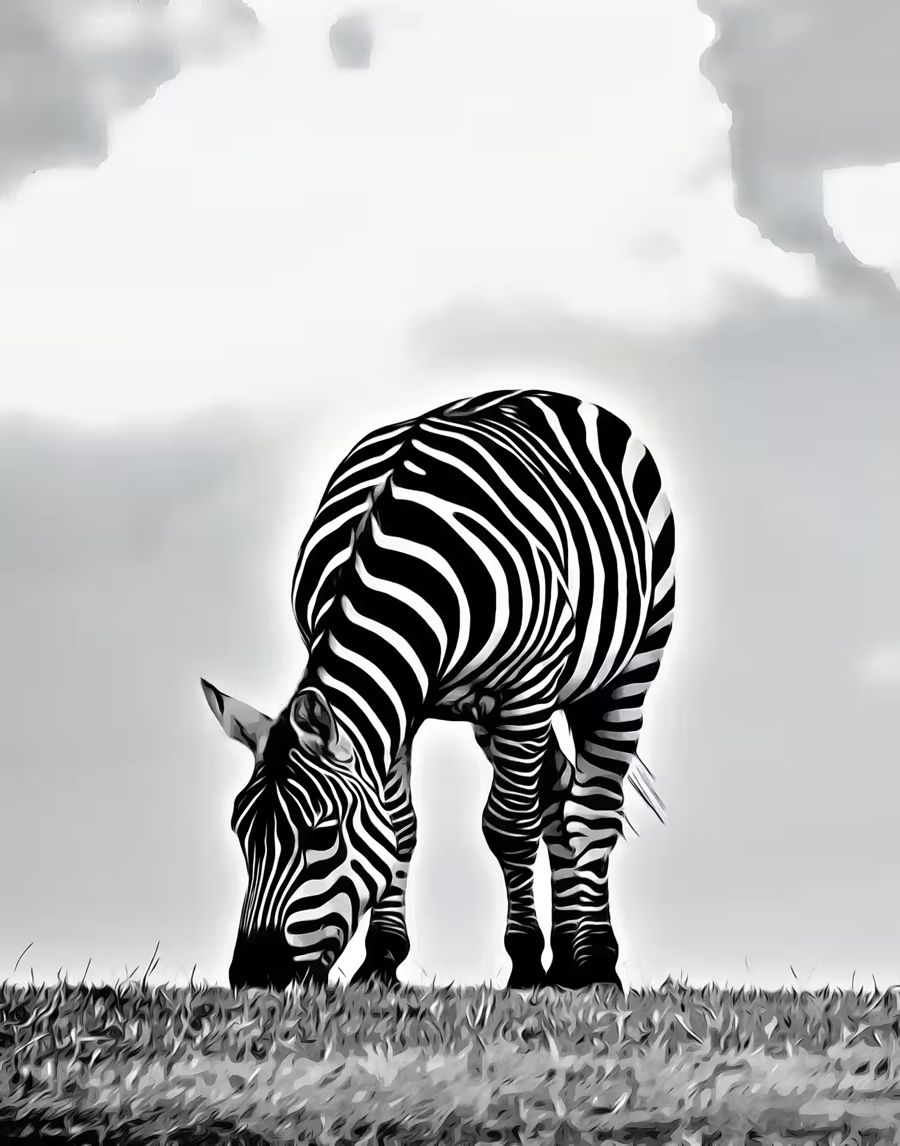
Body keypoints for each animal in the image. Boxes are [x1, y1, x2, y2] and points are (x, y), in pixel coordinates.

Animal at [201, 388, 675, 991]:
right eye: (241, 834)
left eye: (322, 836)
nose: (253, 978)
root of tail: (535, 391)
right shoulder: (400, 711)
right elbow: (400, 828)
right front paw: (381, 961)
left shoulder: (527, 688)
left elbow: (508, 828)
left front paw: (525, 965)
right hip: (498, 717)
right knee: (559, 796)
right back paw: (569, 961)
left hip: (626, 669)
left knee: (592, 811)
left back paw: (594, 963)